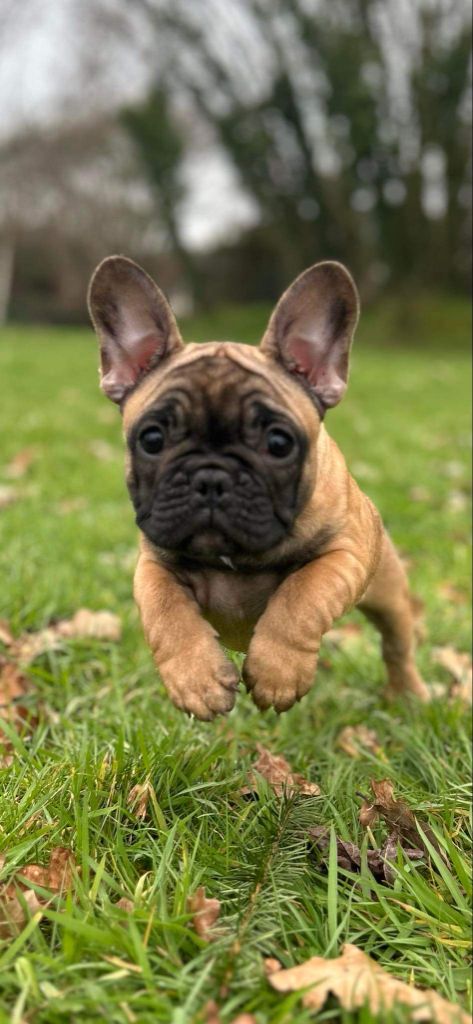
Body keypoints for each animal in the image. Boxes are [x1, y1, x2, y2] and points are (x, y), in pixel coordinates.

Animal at [88, 256, 430, 720]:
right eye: (152, 439)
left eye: (279, 443)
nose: (211, 478)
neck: (238, 558)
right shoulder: (153, 565)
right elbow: (166, 612)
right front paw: (197, 681)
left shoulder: (345, 552)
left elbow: (302, 595)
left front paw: (277, 673)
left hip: (388, 590)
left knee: (397, 643)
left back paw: (409, 695)